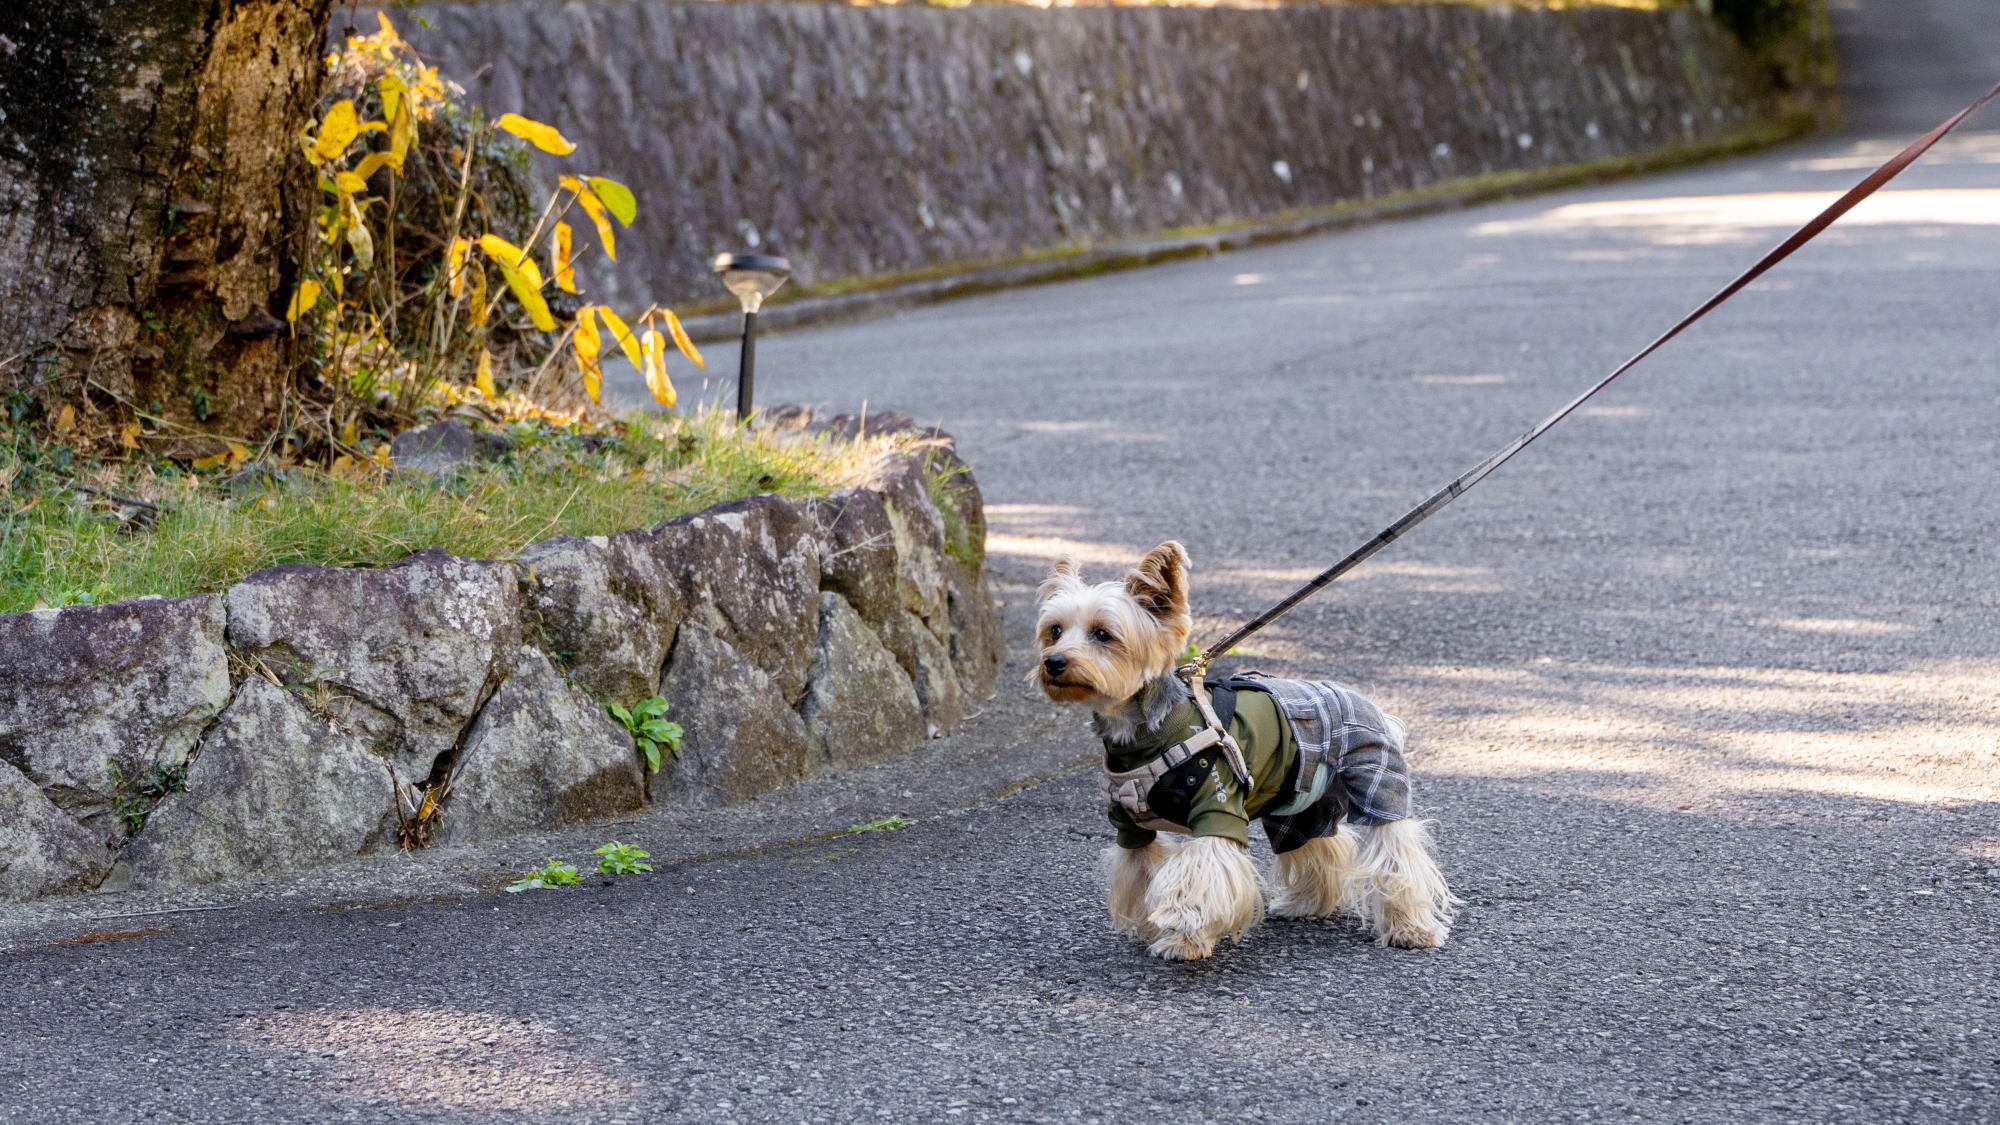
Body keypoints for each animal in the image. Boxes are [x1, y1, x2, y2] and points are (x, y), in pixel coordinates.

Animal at [1032, 540, 1456, 952]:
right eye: (1054, 631)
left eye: (1103, 634)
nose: (1053, 663)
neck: (1146, 732)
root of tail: (1369, 703)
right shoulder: (1130, 825)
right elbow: (1143, 870)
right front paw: (1157, 930)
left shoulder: (1217, 807)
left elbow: (1202, 874)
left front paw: (1185, 934)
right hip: (1296, 804)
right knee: (1315, 843)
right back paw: (1305, 903)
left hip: (1376, 779)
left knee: (1396, 853)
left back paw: (1412, 929)